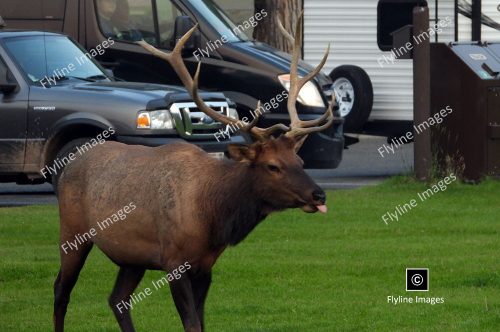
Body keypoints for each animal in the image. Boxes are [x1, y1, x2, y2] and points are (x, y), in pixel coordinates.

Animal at [53, 12, 336, 332]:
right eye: (272, 165)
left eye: (299, 161)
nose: (318, 194)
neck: (212, 215)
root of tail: (67, 166)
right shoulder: (175, 261)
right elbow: (191, 323)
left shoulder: (206, 265)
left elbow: (200, 322)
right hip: (72, 233)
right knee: (61, 290)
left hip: (131, 257)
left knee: (117, 299)